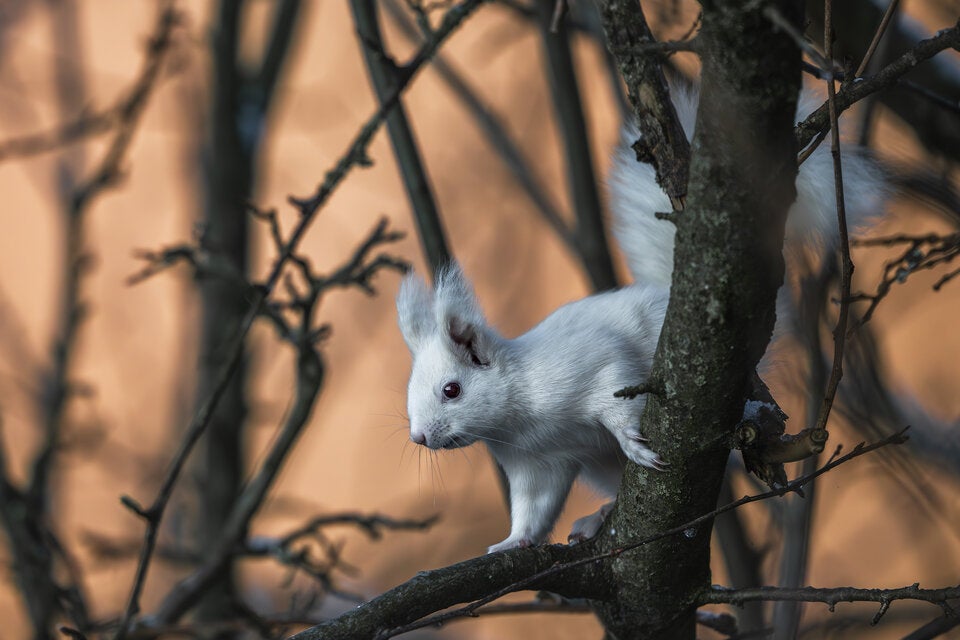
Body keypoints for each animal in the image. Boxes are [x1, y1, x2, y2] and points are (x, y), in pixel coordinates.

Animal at [395, 86, 887, 554]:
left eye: (452, 390)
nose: (418, 438)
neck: (517, 423)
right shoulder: (537, 464)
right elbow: (533, 509)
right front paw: (511, 541)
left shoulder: (589, 367)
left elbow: (615, 396)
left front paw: (632, 439)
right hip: (599, 466)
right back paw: (598, 516)